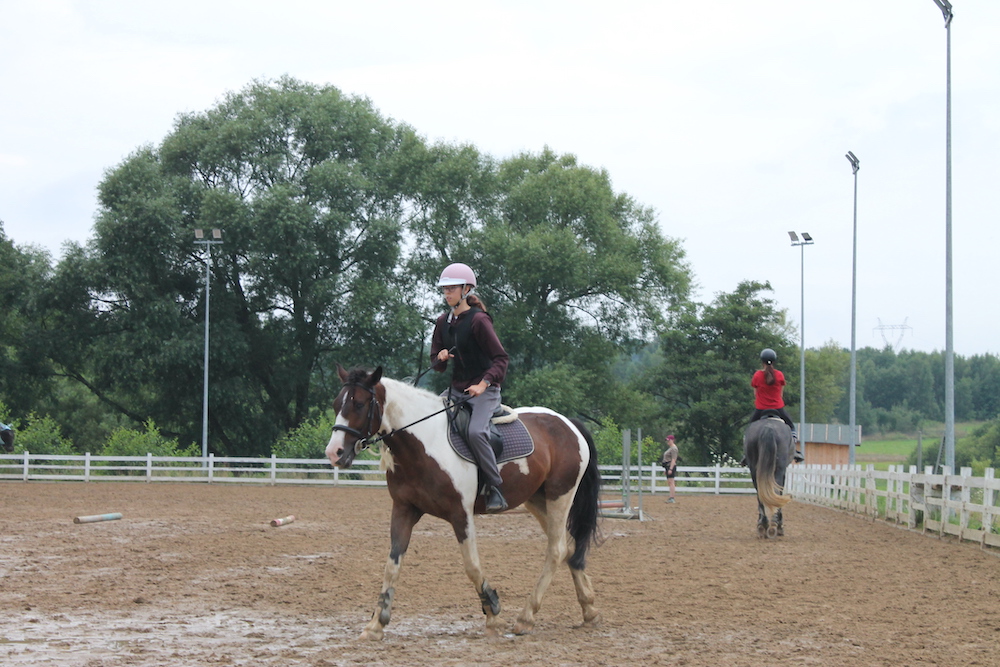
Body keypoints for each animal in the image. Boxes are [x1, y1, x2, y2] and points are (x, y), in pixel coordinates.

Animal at [325, 365, 602, 640]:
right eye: (337, 404)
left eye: (359, 404)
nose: (334, 453)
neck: (425, 444)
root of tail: (569, 423)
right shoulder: (404, 510)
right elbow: (392, 565)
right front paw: (376, 624)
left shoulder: (461, 514)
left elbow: (472, 566)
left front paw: (493, 614)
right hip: (536, 501)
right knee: (569, 546)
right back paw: (589, 608)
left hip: (560, 496)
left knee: (556, 550)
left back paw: (527, 617)